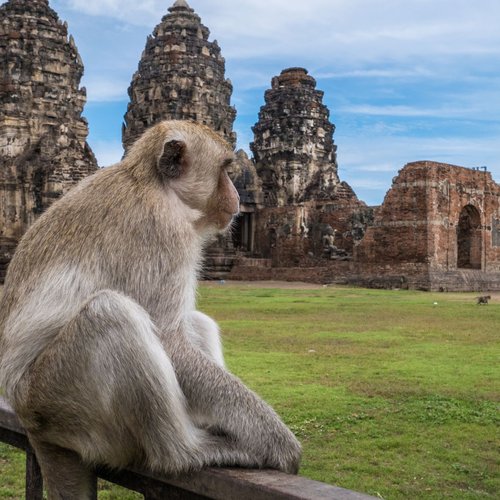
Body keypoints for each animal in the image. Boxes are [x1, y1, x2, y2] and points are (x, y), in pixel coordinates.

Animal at [0, 122, 300, 500]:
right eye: (224, 169)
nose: (235, 195)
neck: (153, 183)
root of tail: (31, 424)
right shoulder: (164, 232)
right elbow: (171, 343)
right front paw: (277, 442)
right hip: (52, 400)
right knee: (112, 314)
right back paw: (183, 452)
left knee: (193, 323)